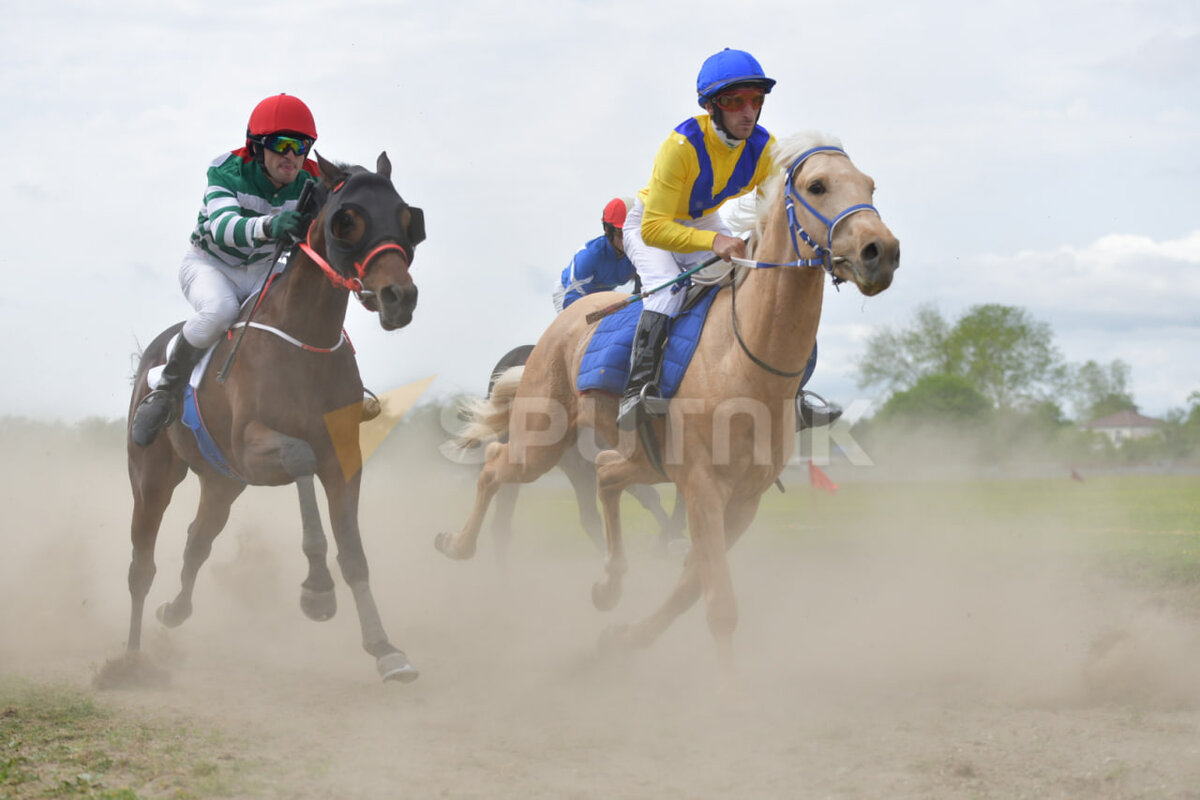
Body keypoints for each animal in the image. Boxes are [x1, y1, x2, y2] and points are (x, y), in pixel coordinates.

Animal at [112, 153, 422, 686]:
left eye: (407, 219)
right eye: (347, 220)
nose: (398, 296)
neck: (304, 340)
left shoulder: (342, 460)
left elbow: (354, 554)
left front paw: (384, 649)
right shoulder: (253, 448)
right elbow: (300, 459)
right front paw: (317, 590)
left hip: (222, 483)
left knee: (197, 541)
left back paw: (175, 610)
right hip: (153, 477)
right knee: (141, 566)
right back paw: (132, 659)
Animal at [436, 131, 897, 695]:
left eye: (870, 186)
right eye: (817, 185)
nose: (882, 251)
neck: (744, 357)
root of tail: (559, 327)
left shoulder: (744, 498)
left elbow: (691, 585)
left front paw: (625, 638)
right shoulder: (702, 485)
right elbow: (718, 600)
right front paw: (729, 692)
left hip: (640, 457)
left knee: (606, 475)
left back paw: (608, 585)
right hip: (542, 443)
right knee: (496, 464)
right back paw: (458, 545)